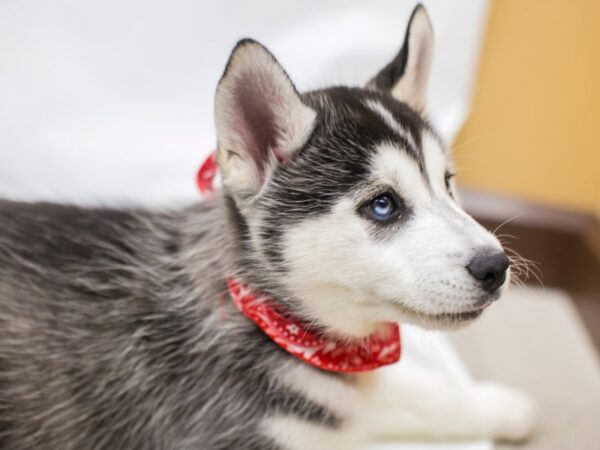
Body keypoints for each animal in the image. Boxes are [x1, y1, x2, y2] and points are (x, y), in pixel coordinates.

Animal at [0, 4, 536, 450]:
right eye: (383, 205)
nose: (496, 267)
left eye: (447, 184)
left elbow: (412, 392)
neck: (269, 321)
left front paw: (501, 405)